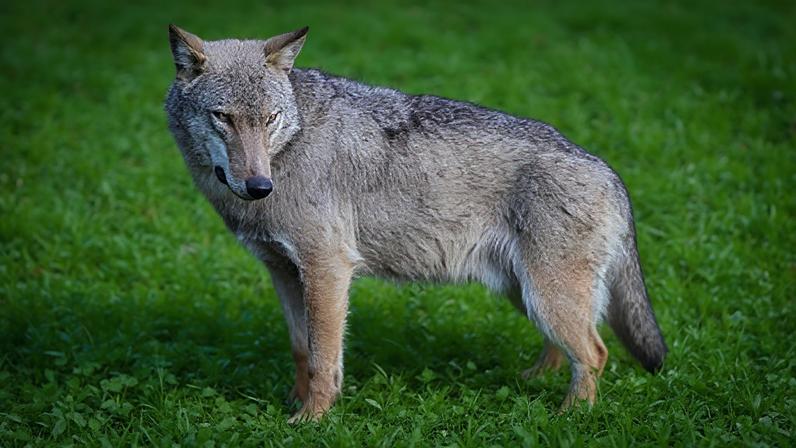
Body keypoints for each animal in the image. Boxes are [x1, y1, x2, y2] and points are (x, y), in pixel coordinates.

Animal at [165, 25, 667, 422]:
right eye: (223, 118)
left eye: (270, 119)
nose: (258, 186)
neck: (291, 146)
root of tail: (611, 173)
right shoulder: (284, 273)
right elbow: (301, 349)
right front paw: (292, 402)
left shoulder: (328, 270)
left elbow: (324, 359)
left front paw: (311, 420)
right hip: (527, 294)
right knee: (568, 350)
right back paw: (534, 381)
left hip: (545, 297)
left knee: (595, 352)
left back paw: (569, 417)